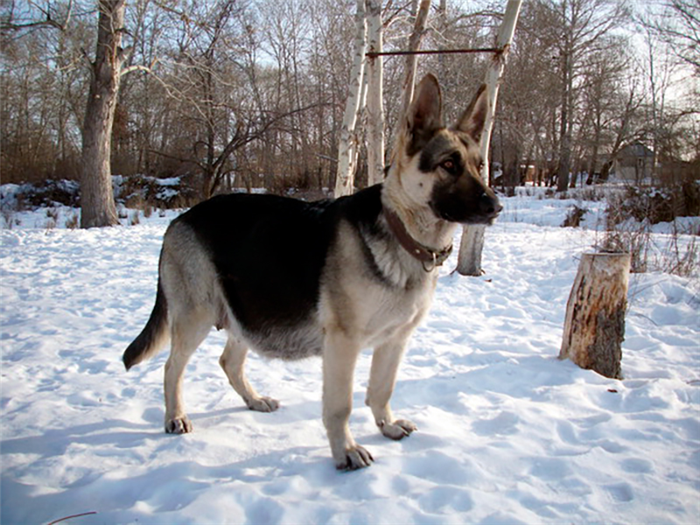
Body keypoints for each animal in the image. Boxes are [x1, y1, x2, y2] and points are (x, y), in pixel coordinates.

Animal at [123, 72, 500, 466]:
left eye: (479, 166)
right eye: (448, 165)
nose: (495, 206)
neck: (401, 231)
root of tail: (180, 218)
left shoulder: (395, 340)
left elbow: (382, 389)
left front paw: (387, 426)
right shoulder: (343, 344)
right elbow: (341, 406)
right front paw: (345, 451)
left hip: (247, 312)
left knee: (229, 361)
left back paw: (253, 400)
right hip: (197, 317)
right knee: (171, 368)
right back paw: (175, 416)